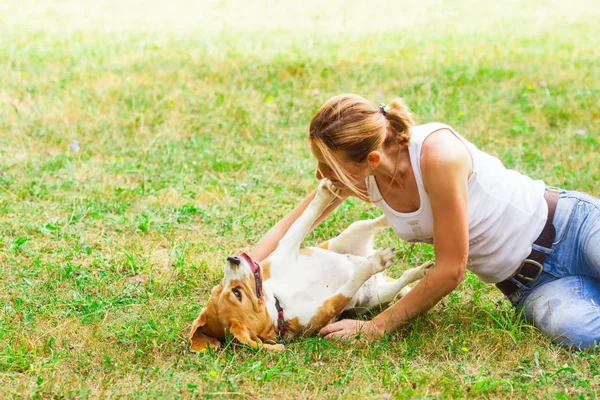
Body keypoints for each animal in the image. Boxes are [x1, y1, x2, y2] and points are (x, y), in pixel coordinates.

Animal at [190, 180, 434, 352]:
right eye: (237, 293)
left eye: (221, 287)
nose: (232, 259)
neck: (279, 301)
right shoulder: (329, 306)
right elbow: (354, 278)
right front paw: (373, 264)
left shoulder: (286, 247)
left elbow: (305, 219)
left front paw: (325, 192)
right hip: (379, 295)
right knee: (400, 278)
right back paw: (412, 267)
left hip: (348, 234)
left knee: (372, 222)